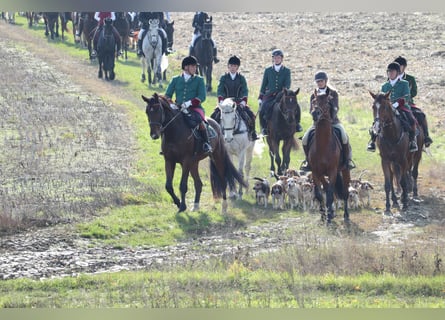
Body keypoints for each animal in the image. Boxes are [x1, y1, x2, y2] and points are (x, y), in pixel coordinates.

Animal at [306, 90, 348, 224]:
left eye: (327, 102)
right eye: (314, 101)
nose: (315, 113)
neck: (323, 145)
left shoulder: (332, 170)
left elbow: (329, 193)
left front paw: (329, 217)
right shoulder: (315, 171)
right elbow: (320, 193)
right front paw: (323, 214)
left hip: (345, 170)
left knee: (345, 192)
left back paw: (346, 216)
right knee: (326, 187)